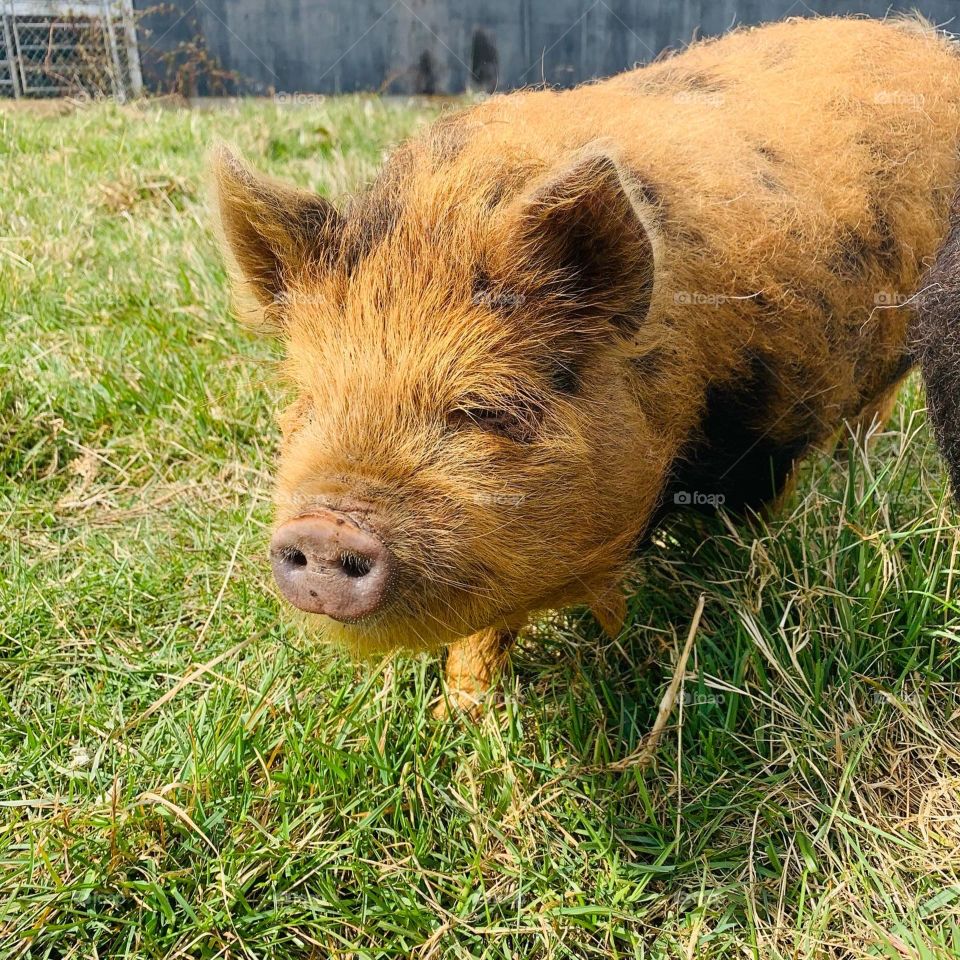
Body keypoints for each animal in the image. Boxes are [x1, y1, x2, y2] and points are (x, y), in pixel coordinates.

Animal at [214, 16, 960, 713]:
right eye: (310, 403)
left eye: (484, 409)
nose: (322, 526)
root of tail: (924, 41)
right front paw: (461, 713)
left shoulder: (776, 429)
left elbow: (758, 523)